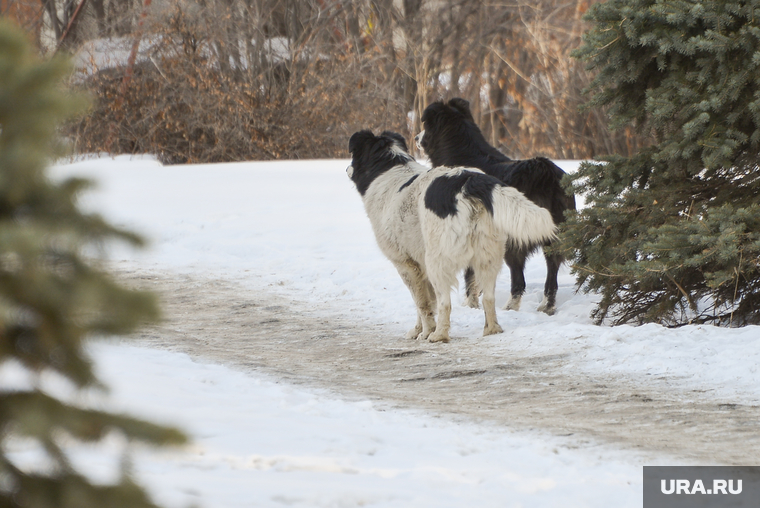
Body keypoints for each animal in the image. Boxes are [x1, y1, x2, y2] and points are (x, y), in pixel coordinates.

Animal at [348, 131, 556, 344]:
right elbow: (424, 304)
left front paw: (426, 332)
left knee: (445, 302)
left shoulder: (406, 264)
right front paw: (418, 331)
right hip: (487, 257)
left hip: (438, 261)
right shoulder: (420, 266)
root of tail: (468, 180)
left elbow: (422, 304)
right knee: (488, 298)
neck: (390, 168)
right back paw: (491, 330)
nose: (347, 168)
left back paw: (439, 335)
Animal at [416, 97, 576, 316]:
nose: (415, 137)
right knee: (552, 273)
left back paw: (510, 307)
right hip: (554, 236)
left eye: (425, 126)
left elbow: (470, 274)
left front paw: (470, 303)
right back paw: (546, 306)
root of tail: (544, 173)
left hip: (513, 238)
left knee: (518, 279)